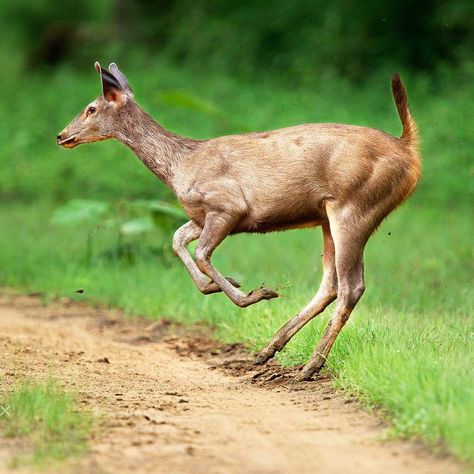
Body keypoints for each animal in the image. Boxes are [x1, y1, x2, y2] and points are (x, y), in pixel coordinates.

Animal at [57, 63, 420, 382]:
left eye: (91, 108)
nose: (61, 135)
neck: (180, 166)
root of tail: (410, 153)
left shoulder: (228, 206)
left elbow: (201, 253)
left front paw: (252, 294)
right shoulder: (201, 214)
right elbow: (177, 240)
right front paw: (218, 285)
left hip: (354, 204)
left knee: (351, 286)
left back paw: (309, 366)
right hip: (326, 217)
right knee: (331, 283)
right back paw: (270, 349)